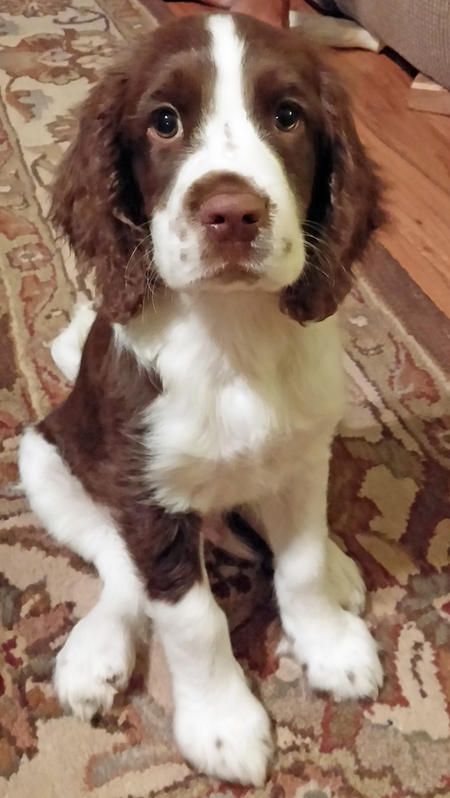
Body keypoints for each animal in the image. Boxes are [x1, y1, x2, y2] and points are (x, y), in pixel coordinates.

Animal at [17, 12, 384, 788]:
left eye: (287, 116)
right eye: (164, 122)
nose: (231, 213)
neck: (232, 334)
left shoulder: (304, 458)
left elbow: (300, 566)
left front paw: (329, 645)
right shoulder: (146, 493)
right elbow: (191, 617)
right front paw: (222, 724)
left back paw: (340, 567)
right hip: (44, 458)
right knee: (118, 567)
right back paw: (95, 653)